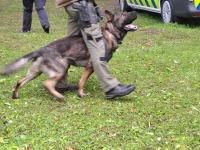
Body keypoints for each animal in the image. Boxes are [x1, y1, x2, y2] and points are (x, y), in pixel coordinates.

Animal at [0, 10, 137, 99]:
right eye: (123, 14)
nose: (135, 11)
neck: (110, 33)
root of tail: (41, 50)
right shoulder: (92, 65)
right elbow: (82, 82)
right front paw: (81, 94)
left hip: (35, 73)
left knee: (19, 81)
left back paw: (15, 95)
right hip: (60, 70)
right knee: (46, 84)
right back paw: (59, 96)